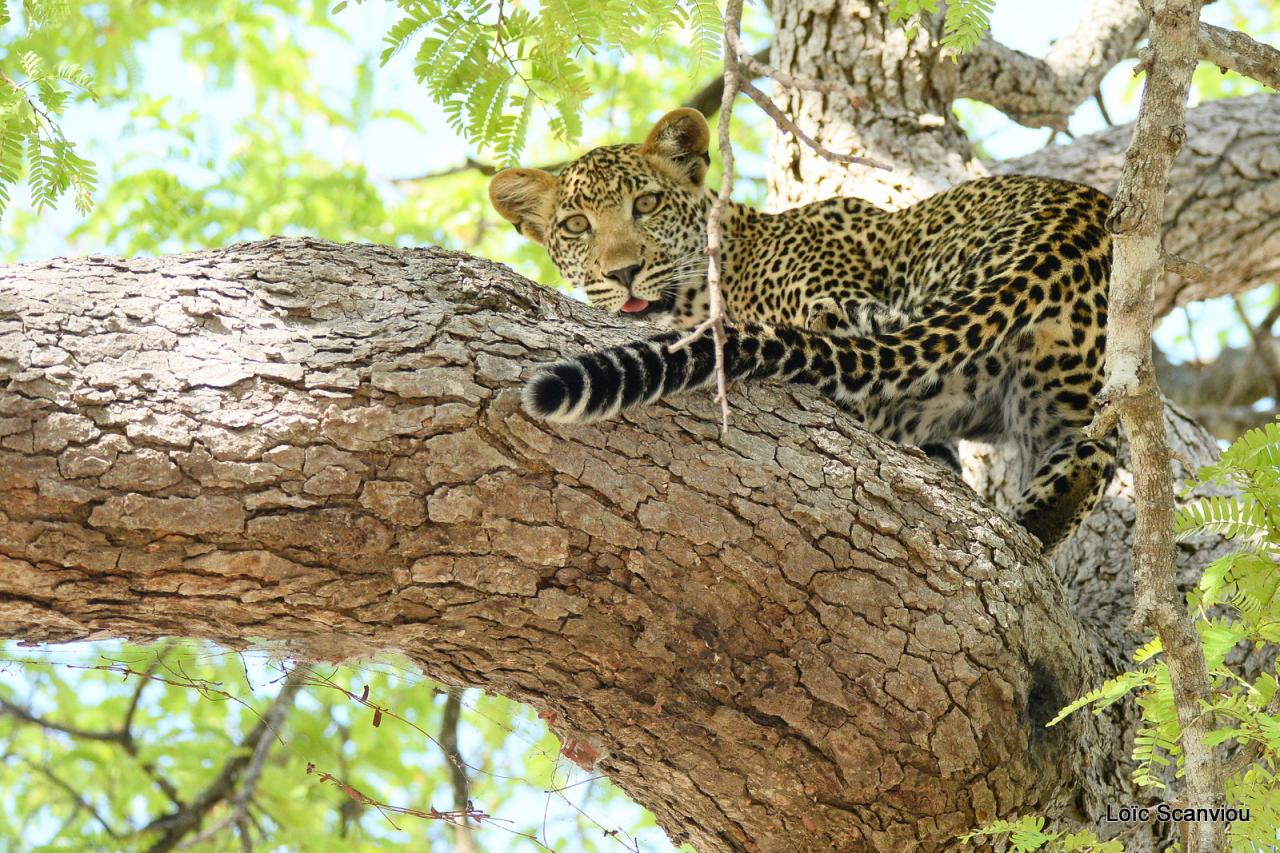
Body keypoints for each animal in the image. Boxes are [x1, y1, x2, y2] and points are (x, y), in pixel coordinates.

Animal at [488, 108, 1111, 550]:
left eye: (647, 204)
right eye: (576, 225)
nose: (622, 271)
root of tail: (1068, 227)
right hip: (1053, 394)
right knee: (1092, 454)